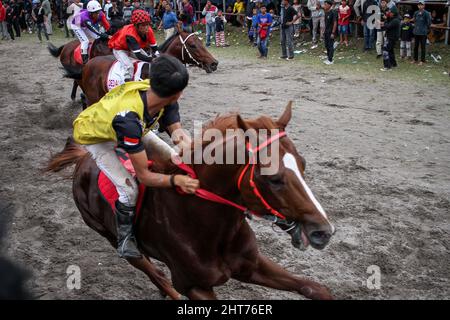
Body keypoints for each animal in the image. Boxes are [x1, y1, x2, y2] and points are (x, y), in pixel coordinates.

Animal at [46, 104, 334, 300]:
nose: (323, 232)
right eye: (273, 179)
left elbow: (317, 289)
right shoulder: (195, 287)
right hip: (109, 234)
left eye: (303, 164)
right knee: (154, 273)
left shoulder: (252, 265)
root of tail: (82, 158)